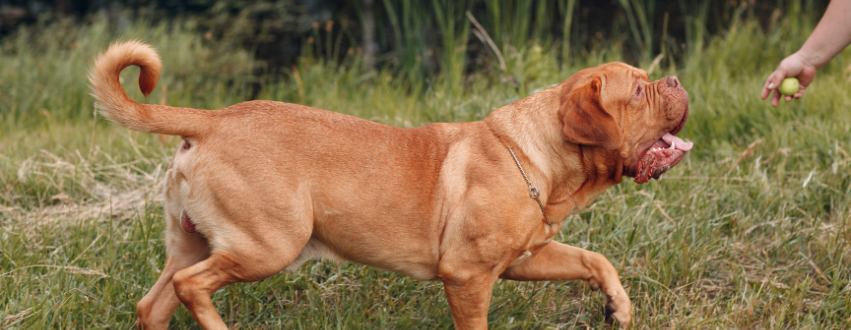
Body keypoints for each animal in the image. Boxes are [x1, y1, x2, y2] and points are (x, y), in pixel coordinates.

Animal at [90, 40, 692, 328]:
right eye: (638, 92)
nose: (676, 79)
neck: (535, 156)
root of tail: (212, 119)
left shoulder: (525, 259)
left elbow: (596, 261)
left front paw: (619, 309)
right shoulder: (467, 276)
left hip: (192, 242)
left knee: (156, 304)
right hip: (268, 244)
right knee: (192, 287)